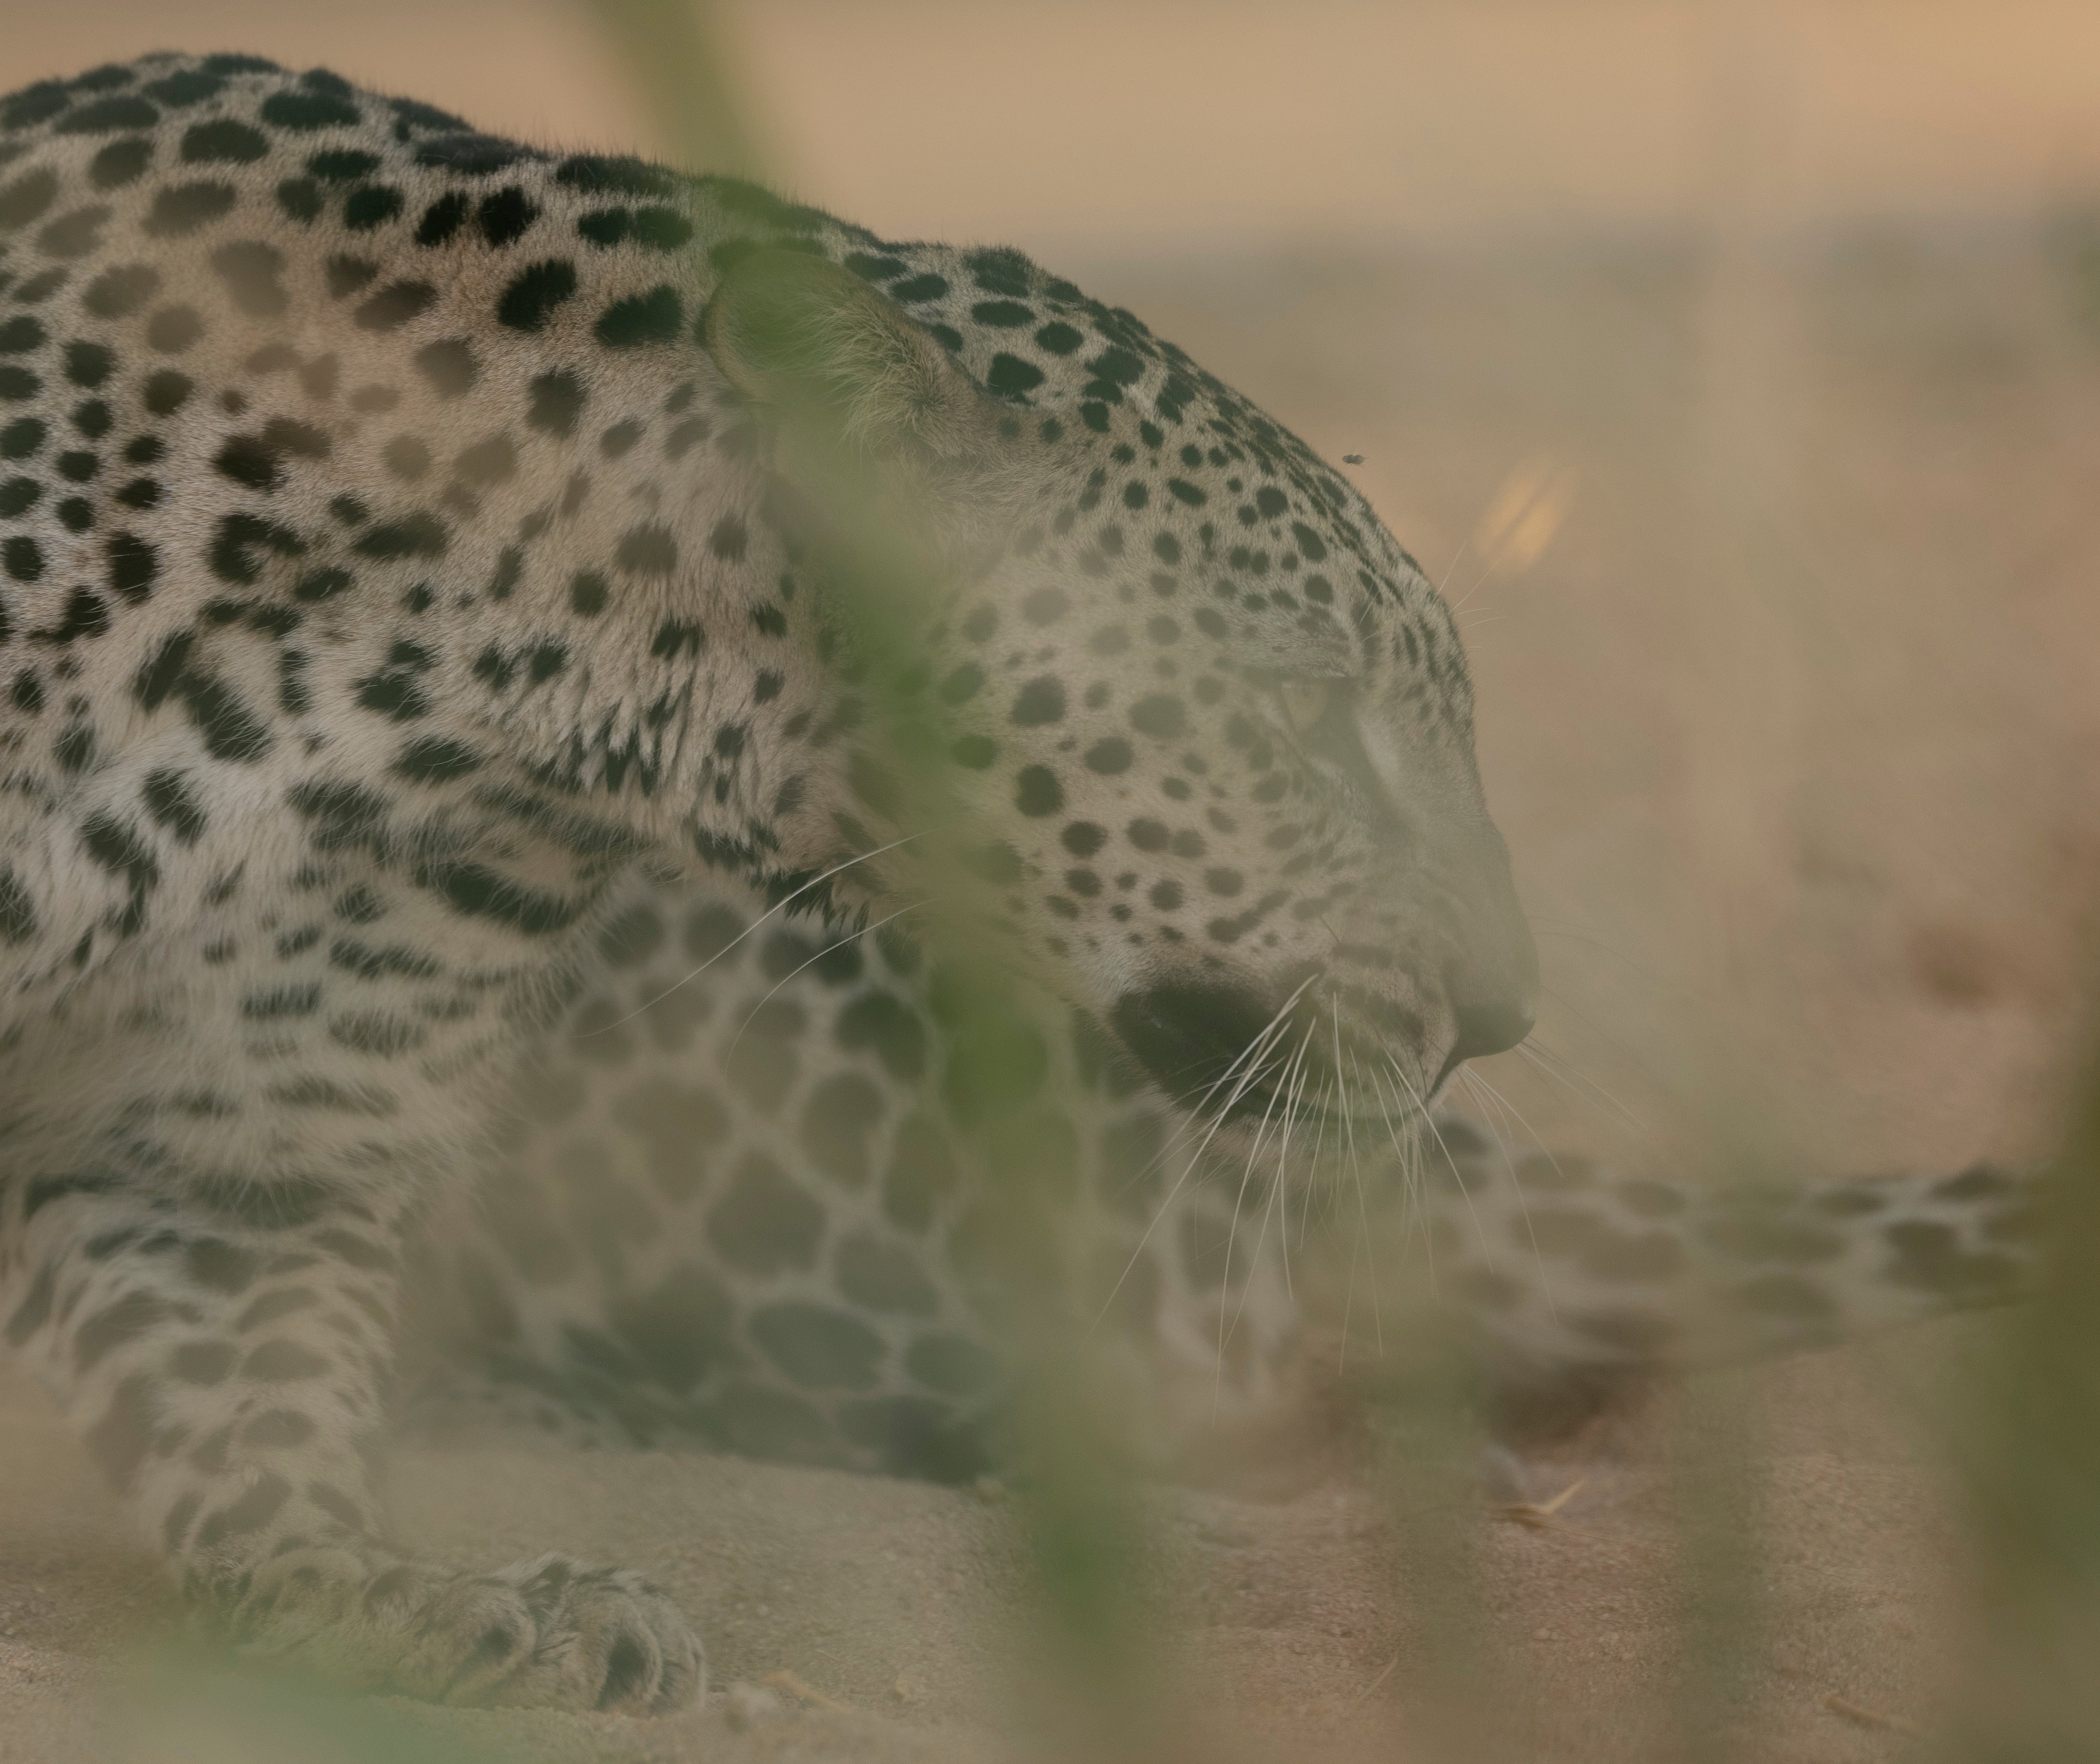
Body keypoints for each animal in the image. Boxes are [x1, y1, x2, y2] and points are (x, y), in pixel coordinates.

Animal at [0, 55, 2041, 1722]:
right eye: (1302, 724)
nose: (1505, 1012)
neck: (466, 685)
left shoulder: (237, 1151)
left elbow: (254, 1410)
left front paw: (405, 1596)